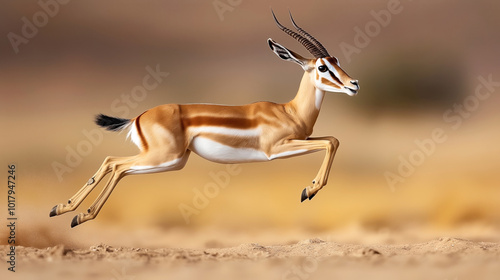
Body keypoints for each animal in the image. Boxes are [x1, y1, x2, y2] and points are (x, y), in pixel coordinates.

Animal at [49, 11, 360, 228]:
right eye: (322, 67)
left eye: (337, 61)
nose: (353, 84)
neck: (290, 111)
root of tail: (138, 115)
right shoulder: (277, 148)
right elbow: (331, 142)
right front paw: (308, 190)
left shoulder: (301, 140)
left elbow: (333, 139)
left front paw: (309, 189)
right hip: (165, 157)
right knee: (116, 164)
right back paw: (78, 215)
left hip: (170, 161)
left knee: (113, 163)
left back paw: (64, 210)